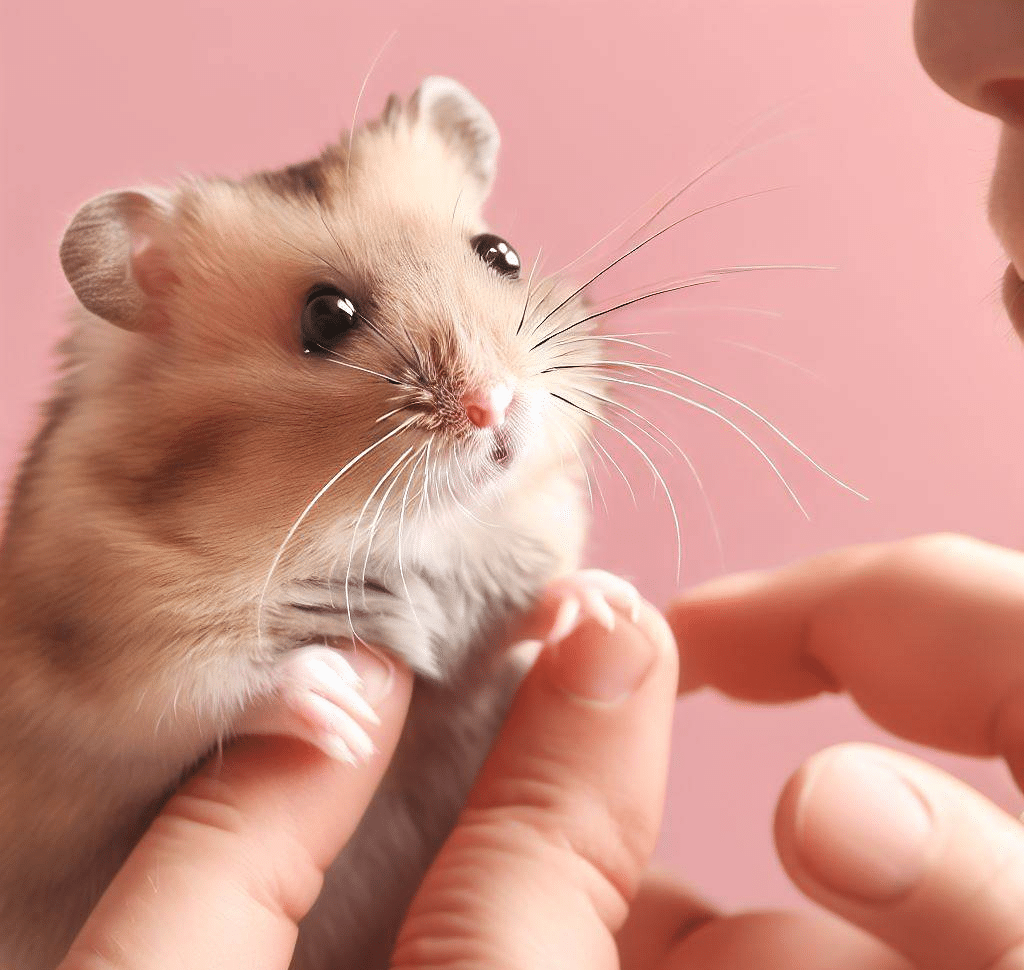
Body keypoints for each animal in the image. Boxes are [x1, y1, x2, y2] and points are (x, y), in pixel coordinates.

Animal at [0, 77, 638, 970]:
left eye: (501, 253)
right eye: (325, 316)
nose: (495, 403)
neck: (399, 525)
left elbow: (519, 619)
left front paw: (609, 607)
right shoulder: (100, 653)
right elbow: (197, 691)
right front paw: (346, 701)